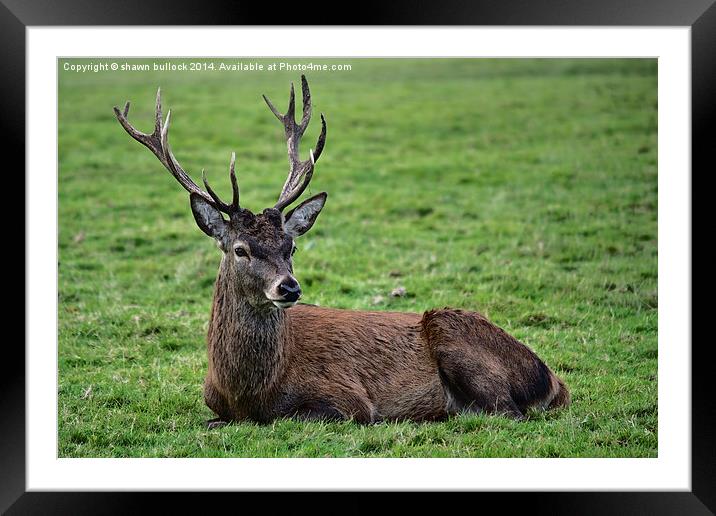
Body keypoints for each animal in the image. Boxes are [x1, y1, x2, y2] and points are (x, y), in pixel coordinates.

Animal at [113, 73, 572, 428]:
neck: (247, 391)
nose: (289, 288)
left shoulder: (347, 398)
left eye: (291, 245)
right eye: (241, 249)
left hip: (458, 336)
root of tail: (553, 380)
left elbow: (286, 417)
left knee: (506, 411)